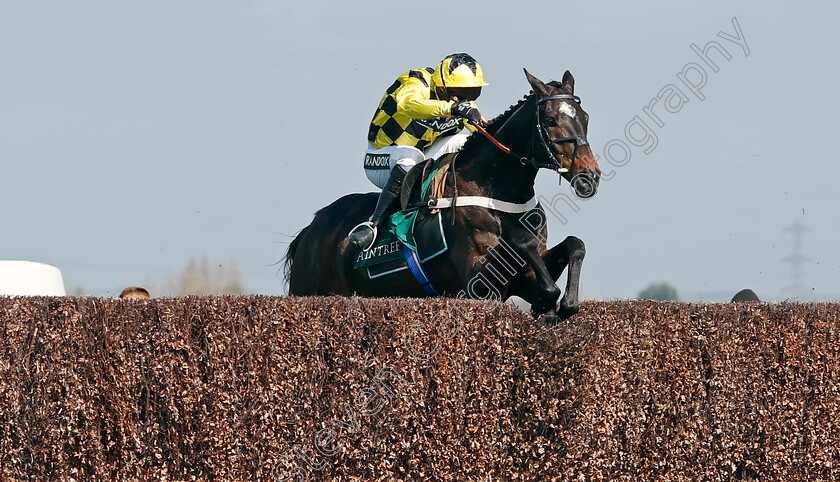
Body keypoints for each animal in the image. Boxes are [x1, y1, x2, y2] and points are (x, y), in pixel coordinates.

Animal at [286, 69, 600, 326]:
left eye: (585, 119)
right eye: (550, 120)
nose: (590, 176)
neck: (498, 194)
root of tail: (312, 228)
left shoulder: (523, 277)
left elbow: (574, 245)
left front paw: (561, 305)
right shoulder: (478, 282)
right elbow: (528, 252)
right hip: (307, 289)